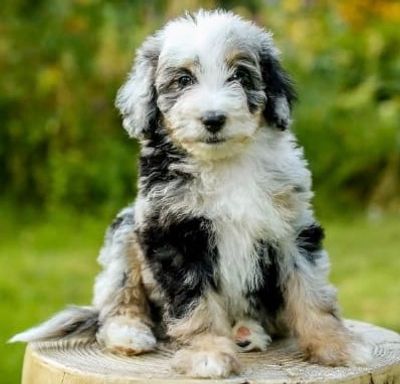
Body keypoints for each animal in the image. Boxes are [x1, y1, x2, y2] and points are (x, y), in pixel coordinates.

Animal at [10, 10, 370, 380]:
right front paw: (207, 355)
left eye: (240, 76)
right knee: (118, 295)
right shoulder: (175, 236)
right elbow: (196, 304)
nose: (213, 119)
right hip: (126, 228)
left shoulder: (293, 228)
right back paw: (129, 332)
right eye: (183, 80)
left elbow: (312, 292)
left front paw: (336, 346)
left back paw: (246, 331)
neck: (225, 163)